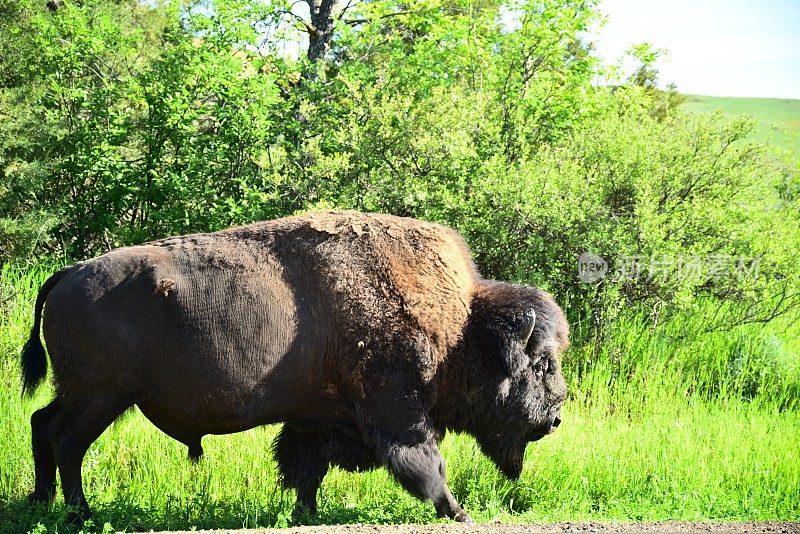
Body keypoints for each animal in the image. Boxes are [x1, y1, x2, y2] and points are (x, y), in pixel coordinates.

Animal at [20, 211, 568, 524]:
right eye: (542, 365)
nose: (557, 416)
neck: (461, 326)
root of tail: (68, 273)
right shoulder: (400, 415)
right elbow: (427, 466)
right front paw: (459, 512)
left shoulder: (317, 418)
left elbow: (307, 469)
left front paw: (305, 512)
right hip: (100, 398)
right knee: (66, 440)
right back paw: (79, 514)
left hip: (83, 395)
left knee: (41, 424)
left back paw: (41, 502)